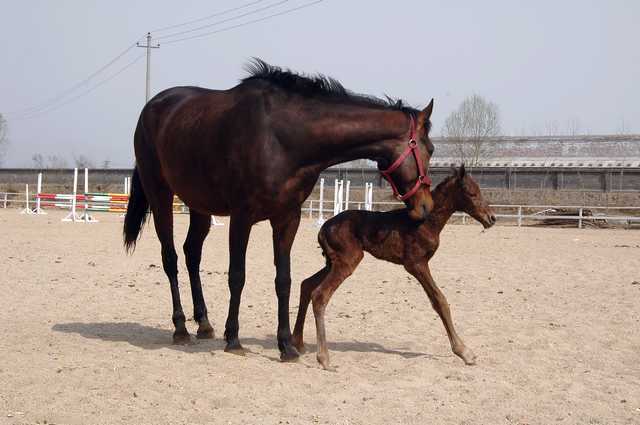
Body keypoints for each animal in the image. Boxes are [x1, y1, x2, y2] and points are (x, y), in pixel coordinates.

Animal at [122, 58, 438, 358]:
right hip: (160, 196)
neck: (282, 137)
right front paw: (233, 339)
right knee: (171, 258)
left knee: (191, 254)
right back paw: (180, 328)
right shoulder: (242, 217)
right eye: (430, 149)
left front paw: (286, 345)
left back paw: (203, 323)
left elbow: (284, 279)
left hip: (200, 205)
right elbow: (237, 275)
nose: (426, 206)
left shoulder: (287, 218)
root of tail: (151, 108)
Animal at [292, 164, 498, 370]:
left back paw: (297, 343)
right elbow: (439, 301)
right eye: (472, 193)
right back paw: (324, 358)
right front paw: (464, 352)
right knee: (320, 294)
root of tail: (323, 228)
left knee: (306, 285)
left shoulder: (419, 265)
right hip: (347, 261)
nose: (492, 218)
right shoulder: (416, 264)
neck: (426, 221)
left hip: (333, 262)